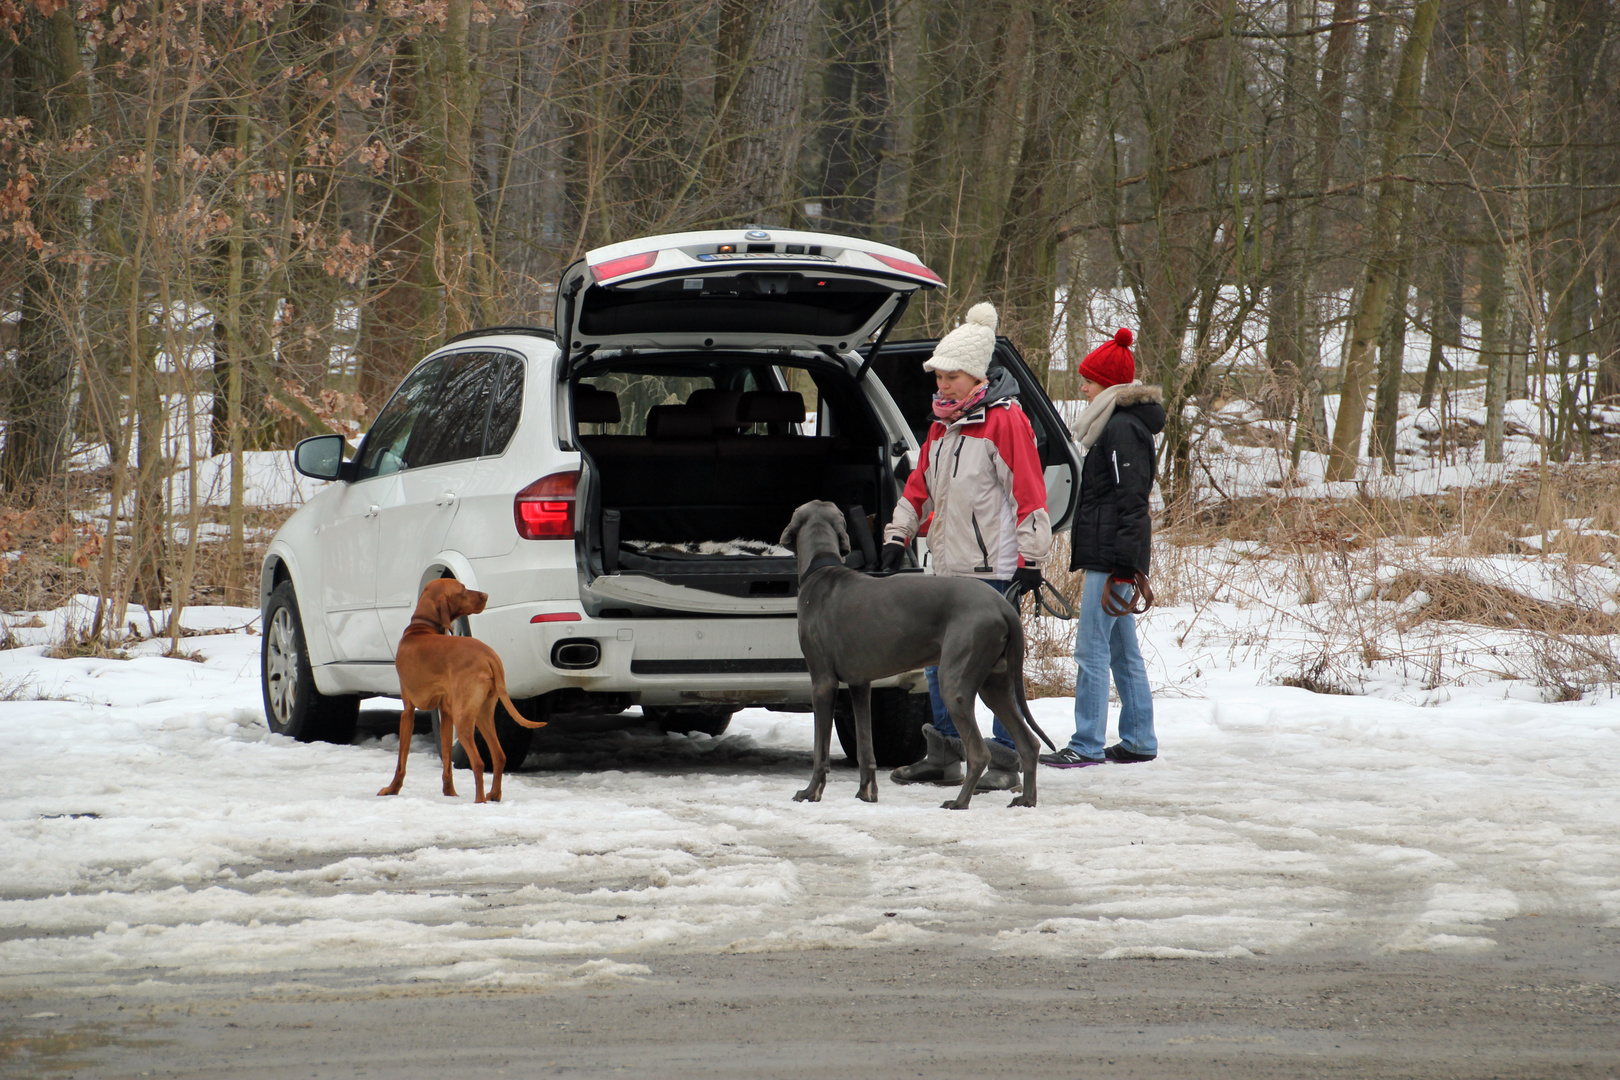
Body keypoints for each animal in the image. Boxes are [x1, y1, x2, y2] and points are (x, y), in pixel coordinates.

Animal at [377, 582, 544, 803]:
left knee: (479, 762)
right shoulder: (446, 714)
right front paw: (449, 792)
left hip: (463, 718)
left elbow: (401, 762)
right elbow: (447, 760)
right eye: (463, 590)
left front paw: (392, 789)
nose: (486, 594)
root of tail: (490, 655)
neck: (421, 629)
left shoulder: (408, 711)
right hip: (481, 714)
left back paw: (479, 800)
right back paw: (494, 795)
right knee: (499, 756)